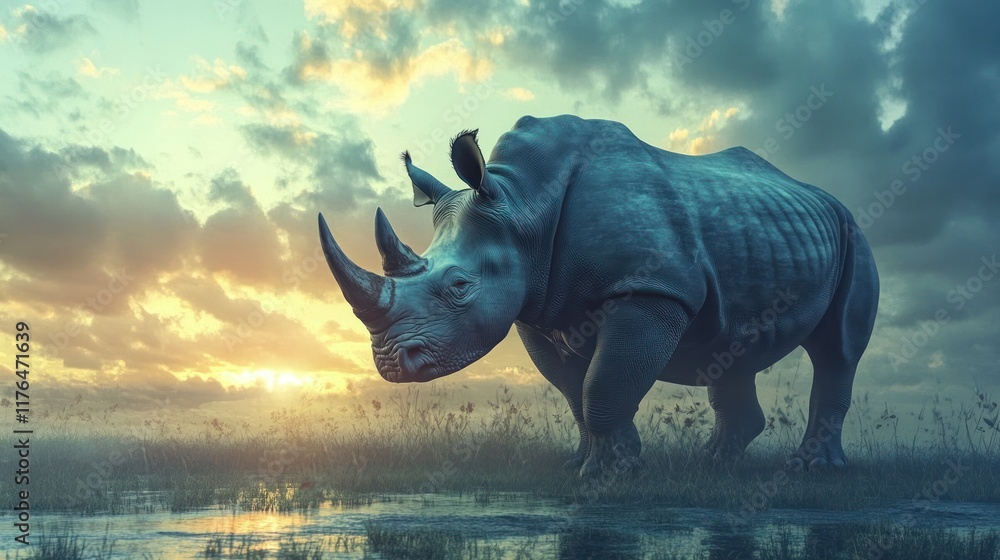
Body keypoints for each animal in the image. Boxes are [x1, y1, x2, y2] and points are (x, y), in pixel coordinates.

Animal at [318, 115, 879, 477]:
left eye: (459, 287)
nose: (391, 362)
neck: (524, 204)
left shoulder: (652, 290)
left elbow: (603, 387)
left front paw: (610, 475)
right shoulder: (537, 310)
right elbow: (575, 393)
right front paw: (588, 464)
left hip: (853, 233)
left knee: (837, 351)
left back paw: (813, 470)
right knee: (730, 350)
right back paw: (715, 464)